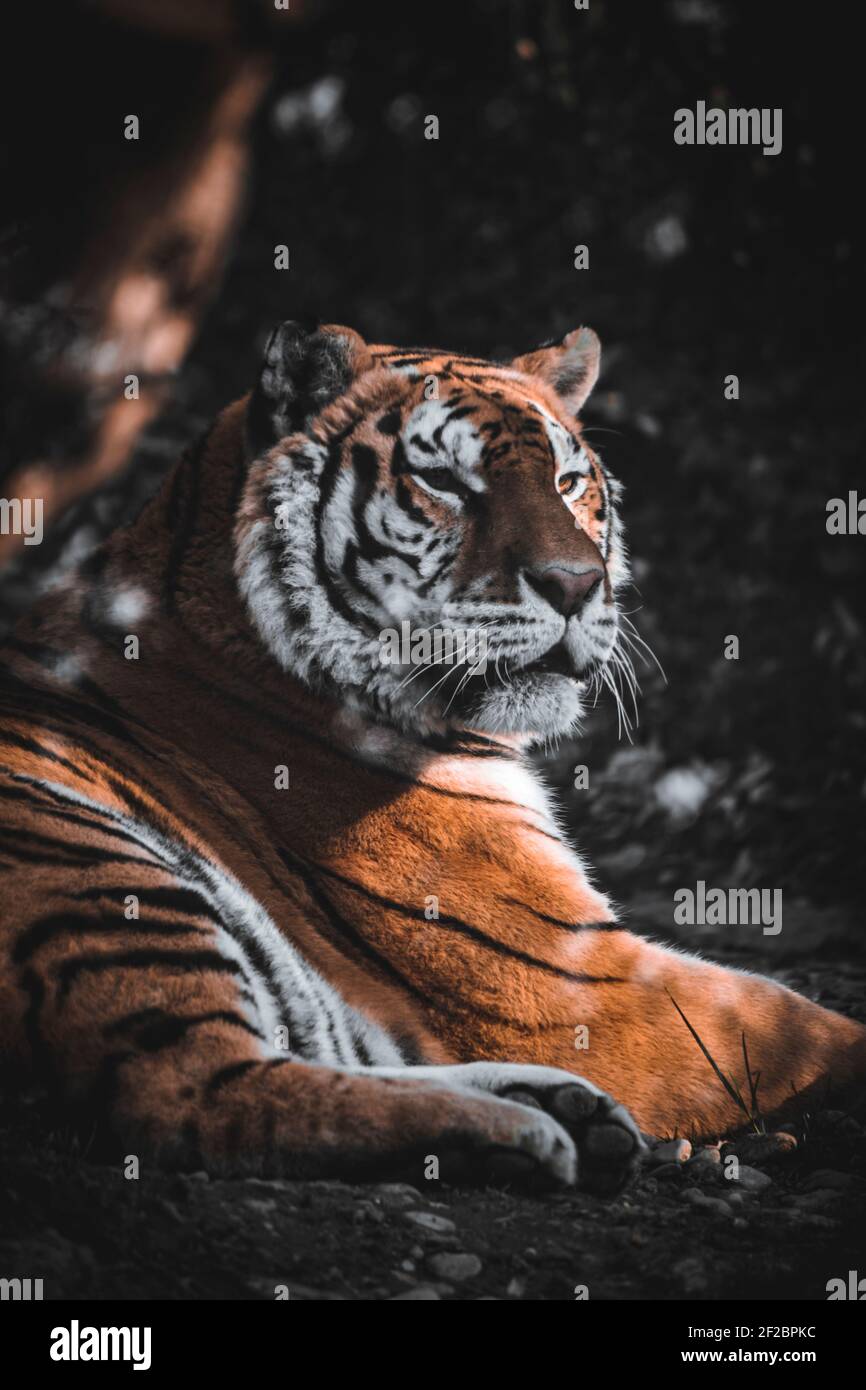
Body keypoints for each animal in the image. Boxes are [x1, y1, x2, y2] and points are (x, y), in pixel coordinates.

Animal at [0, 318, 861, 1195]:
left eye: (568, 480)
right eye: (444, 481)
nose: (575, 584)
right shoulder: (564, 976)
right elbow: (804, 1028)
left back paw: (569, 1114)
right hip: (95, 867)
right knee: (194, 1092)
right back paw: (525, 1135)